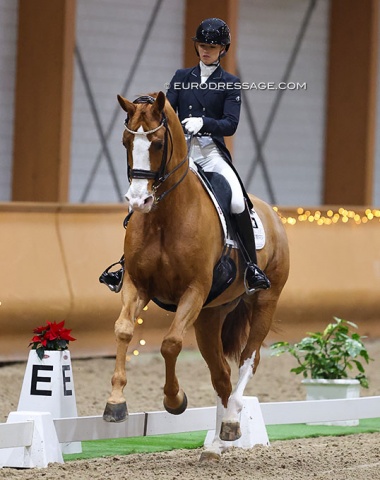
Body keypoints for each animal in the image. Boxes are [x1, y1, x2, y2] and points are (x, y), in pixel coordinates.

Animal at [103, 91, 288, 462]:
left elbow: (171, 343)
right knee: (221, 376)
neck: (165, 216)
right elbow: (124, 330)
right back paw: (216, 445)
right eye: (126, 141)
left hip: (264, 302)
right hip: (209, 317)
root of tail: (272, 214)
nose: (138, 200)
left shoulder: (195, 290)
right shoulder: (136, 285)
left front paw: (175, 400)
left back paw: (231, 422)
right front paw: (115, 403)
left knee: (248, 360)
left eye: (158, 143)